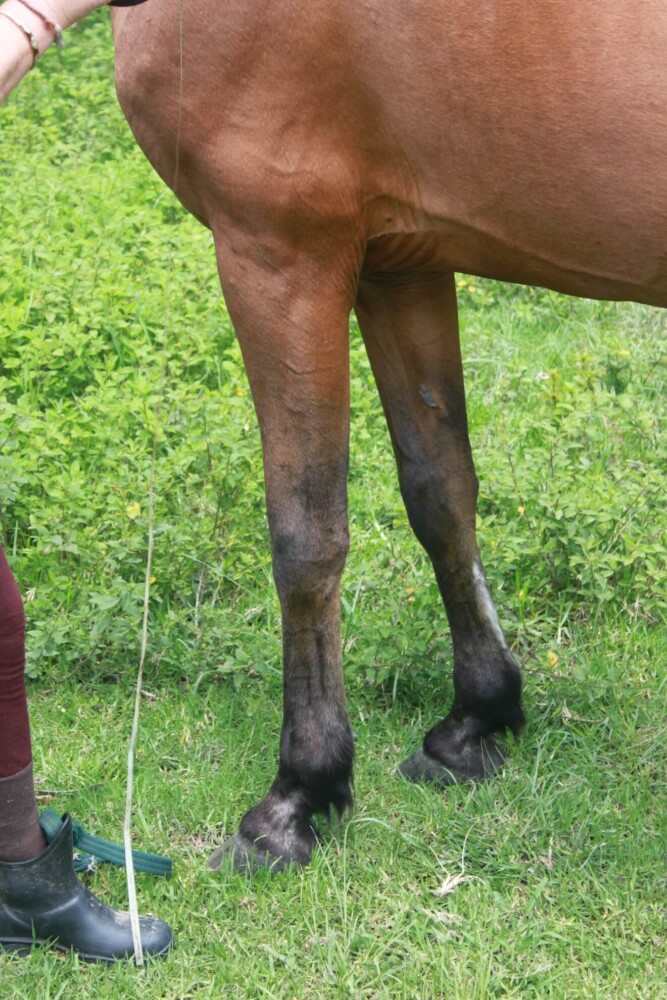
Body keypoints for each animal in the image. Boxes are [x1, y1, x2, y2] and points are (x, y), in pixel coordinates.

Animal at [112, 1, 664, 868]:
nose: (475, 723)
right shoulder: (397, 259)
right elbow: (439, 490)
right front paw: (476, 720)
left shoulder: (279, 254)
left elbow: (306, 536)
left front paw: (299, 795)